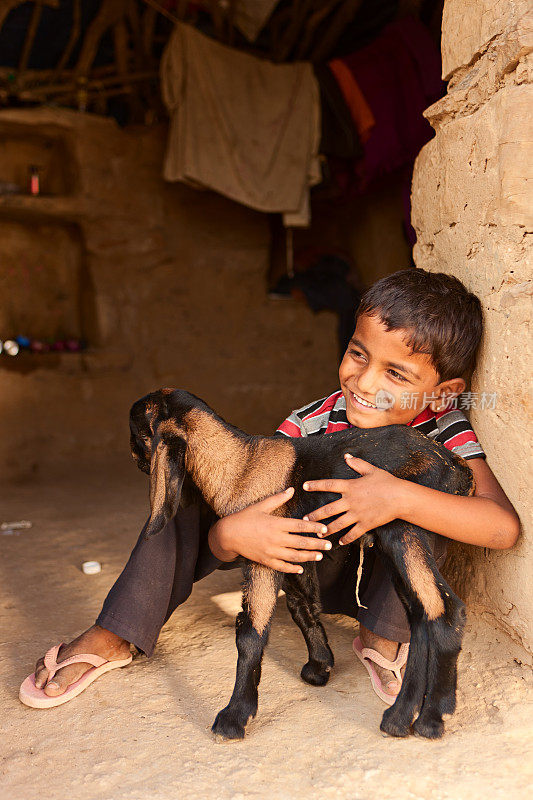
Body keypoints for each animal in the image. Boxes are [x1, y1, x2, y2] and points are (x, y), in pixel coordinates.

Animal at [131, 390, 472, 740]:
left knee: (445, 611)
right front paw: (320, 666)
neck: (240, 464)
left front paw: (235, 716)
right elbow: (303, 607)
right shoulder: (293, 555)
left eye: (137, 432)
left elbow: (251, 632)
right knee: (421, 615)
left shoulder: (261, 556)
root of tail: (456, 467)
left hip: (402, 527)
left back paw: (431, 718)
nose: (136, 460)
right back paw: (402, 717)